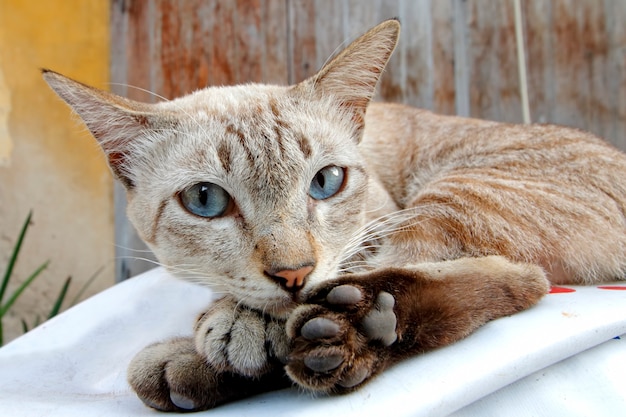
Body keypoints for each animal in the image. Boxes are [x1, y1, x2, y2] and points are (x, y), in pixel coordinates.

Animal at [41, 18, 624, 410]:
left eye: (325, 183)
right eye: (206, 200)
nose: (294, 274)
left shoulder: (371, 232)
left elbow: (318, 285)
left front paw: (240, 328)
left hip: (456, 196)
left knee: (517, 281)